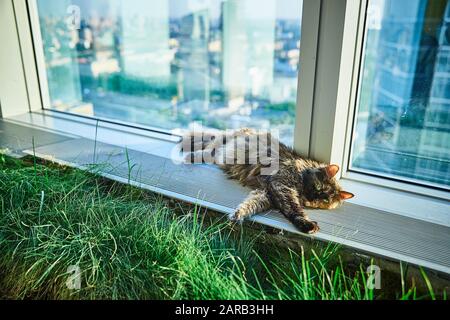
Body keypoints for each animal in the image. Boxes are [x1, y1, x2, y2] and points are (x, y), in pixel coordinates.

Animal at [181, 128, 354, 235]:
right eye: (318, 187)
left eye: (325, 200)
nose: (313, 198)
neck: (300, 168)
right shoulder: (281, 186)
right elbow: (294, 209)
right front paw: (307, 224)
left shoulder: (267, 193)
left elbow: (251, 205)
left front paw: (237, 215)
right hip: (219, 146)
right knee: (206, 150)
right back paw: (189, 157)